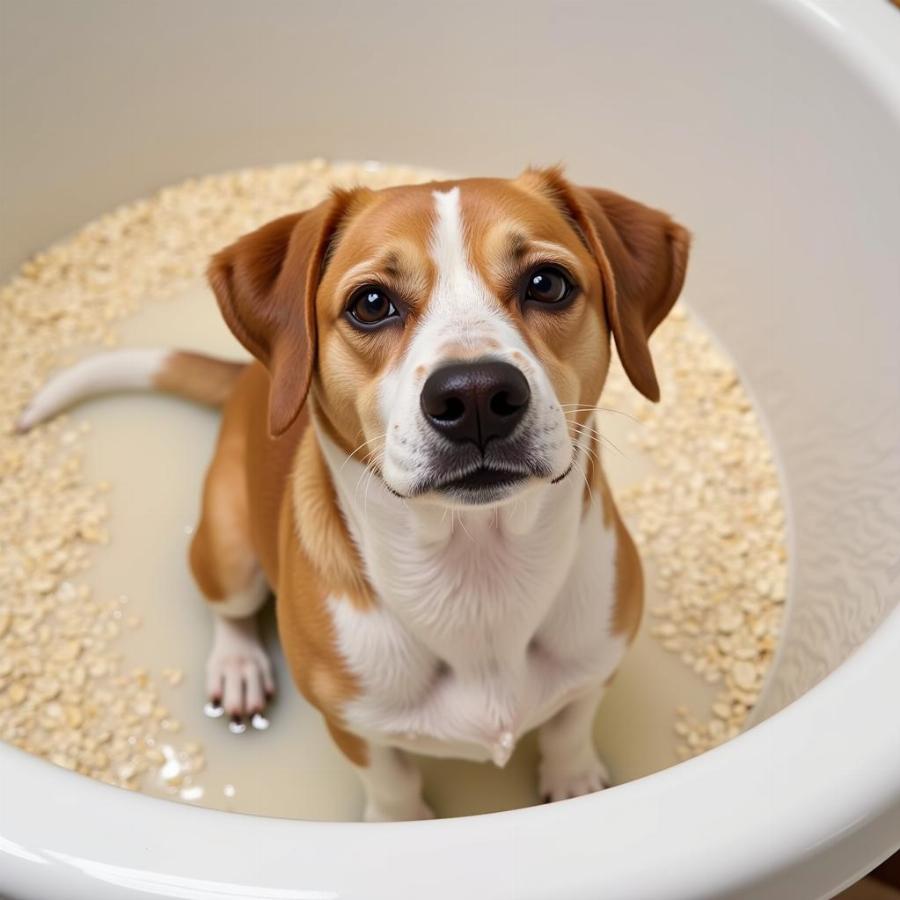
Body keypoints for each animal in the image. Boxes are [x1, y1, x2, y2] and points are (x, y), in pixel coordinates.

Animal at [19, 165, 688, 820]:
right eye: (371, 303)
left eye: (547, 284)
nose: (475, 393)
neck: (475, 577)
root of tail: (249, 376)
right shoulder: (354, 722)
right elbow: (391, 784)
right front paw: (401, 821)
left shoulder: (596, 662)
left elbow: (570, 728)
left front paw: (573, 784)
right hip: (227, 548)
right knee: (228, 608)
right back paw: (237, 667)